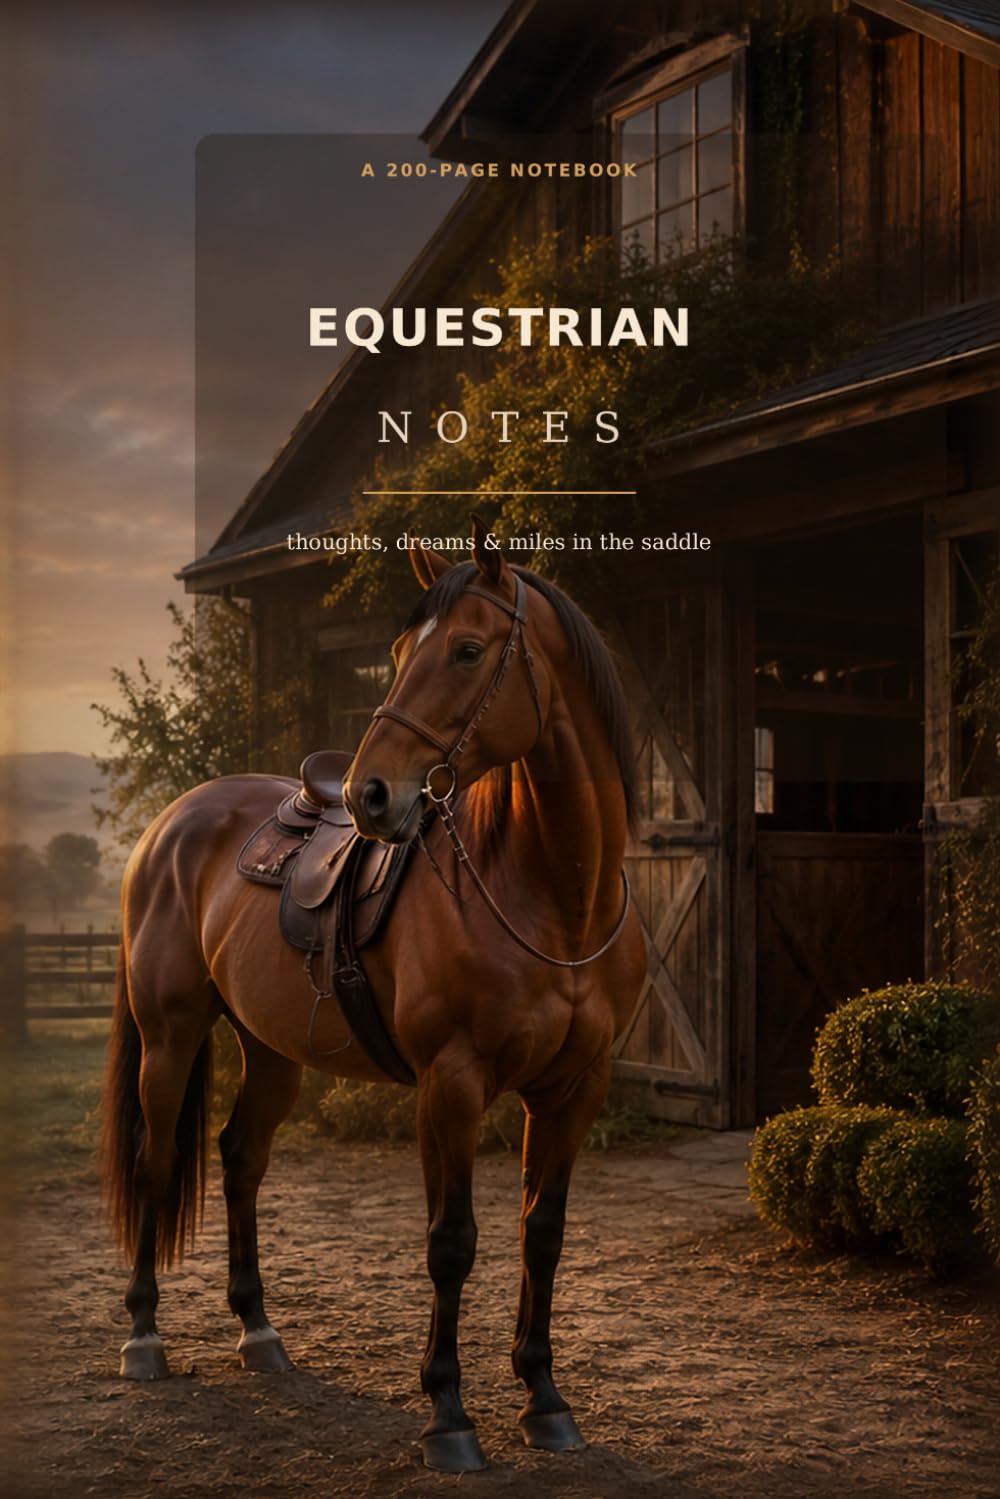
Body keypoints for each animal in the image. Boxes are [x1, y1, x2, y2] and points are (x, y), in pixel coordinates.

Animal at [102, 518, 646, 1472]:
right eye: (396, 653)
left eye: (467, 649)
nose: (371, 795)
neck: (552, 898)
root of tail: (169, 824)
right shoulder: (451, 1085)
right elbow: (451, 1243)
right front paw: (449, 1415)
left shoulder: (574, 1088)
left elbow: (541, 1232)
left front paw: (545, 1398)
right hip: (168, 1036)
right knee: (159, 1160)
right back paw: (144, 1338)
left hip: (271, 1051)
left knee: (241, 1157)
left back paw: (260, 1331)